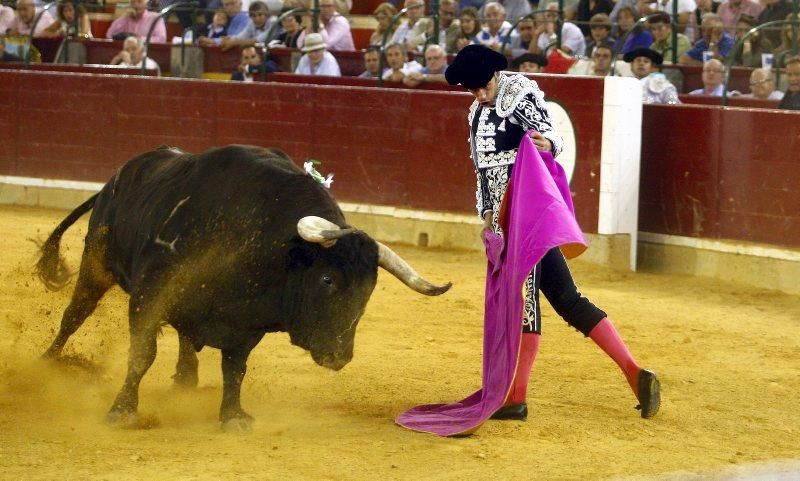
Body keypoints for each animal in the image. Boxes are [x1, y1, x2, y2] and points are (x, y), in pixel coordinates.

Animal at [37, 144, 450, 430]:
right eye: (327, 279)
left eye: (369, 289)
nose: (339, 356)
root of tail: (116, 179)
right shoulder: (149, 296)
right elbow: (142, 355)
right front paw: (122, 411)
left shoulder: (245, 325)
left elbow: (235, 369)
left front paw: (233, 416)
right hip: (97, 264)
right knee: (74, 315)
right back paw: (46, 363)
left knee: (184, 335)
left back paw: (186, 377)